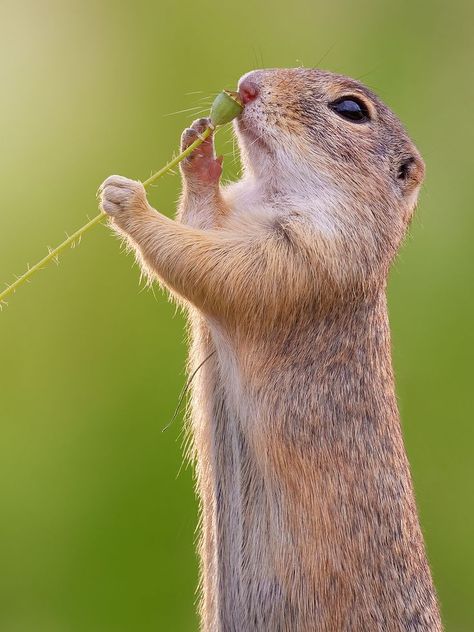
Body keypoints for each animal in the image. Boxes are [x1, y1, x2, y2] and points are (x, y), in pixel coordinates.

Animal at [99, 66, 440, 628]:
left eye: (352, 109)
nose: (247, 84)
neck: (271, 194)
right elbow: (201, 224)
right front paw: (198, 150)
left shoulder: (305, 259)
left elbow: (203, 262)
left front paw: (127, 200)